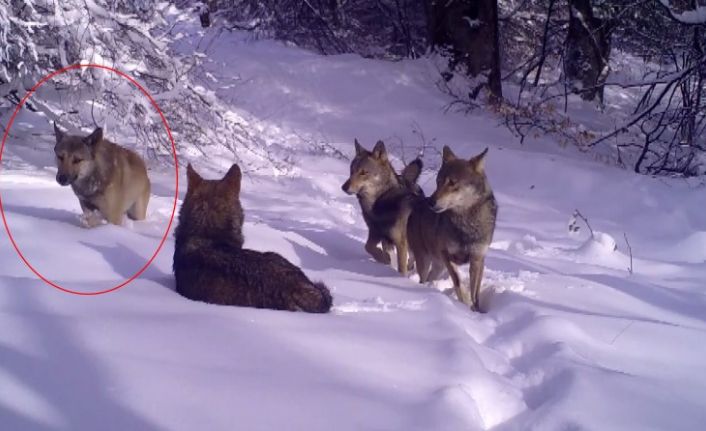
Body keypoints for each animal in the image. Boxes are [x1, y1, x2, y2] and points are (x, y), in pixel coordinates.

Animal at [340, 142, 420, 276]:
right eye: (352, 171)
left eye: (363, 172)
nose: (344, 187)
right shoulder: (376, 233)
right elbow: (368, 247)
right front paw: (384, 259)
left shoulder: (400, 243)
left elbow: (401, 268)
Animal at [404, 147, 498, 312]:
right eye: (438, 182)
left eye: (452, 183)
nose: (431, 202)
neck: (466, 224)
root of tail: (418, 202)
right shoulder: (446, 254)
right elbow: (458, 282)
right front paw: (464, 303)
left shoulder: (478, 258)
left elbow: (475, 293)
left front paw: (476, 310)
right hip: (426, 260)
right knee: (422, 278)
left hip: (438, 266)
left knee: (428, 277)